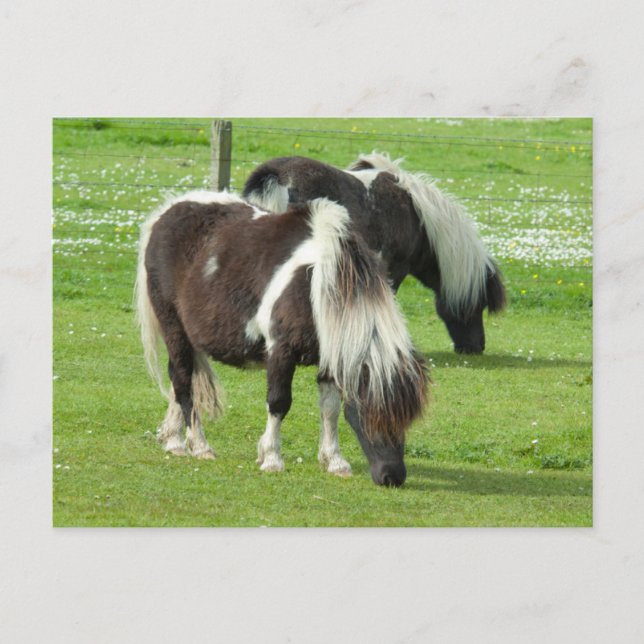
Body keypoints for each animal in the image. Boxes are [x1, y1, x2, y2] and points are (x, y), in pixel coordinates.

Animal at [135, 190, 428, 487]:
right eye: (370, 414)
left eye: (407, 420)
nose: (392, 476)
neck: (317, 284)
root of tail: (166, 213)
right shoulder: (281, 350)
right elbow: (278, 403)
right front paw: (272, 458)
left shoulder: (331, 356)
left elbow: (330, 408)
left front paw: (334, 461)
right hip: (173, 326)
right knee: (182, 380)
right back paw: (198, 445)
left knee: (181, 379)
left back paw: (173, 439)